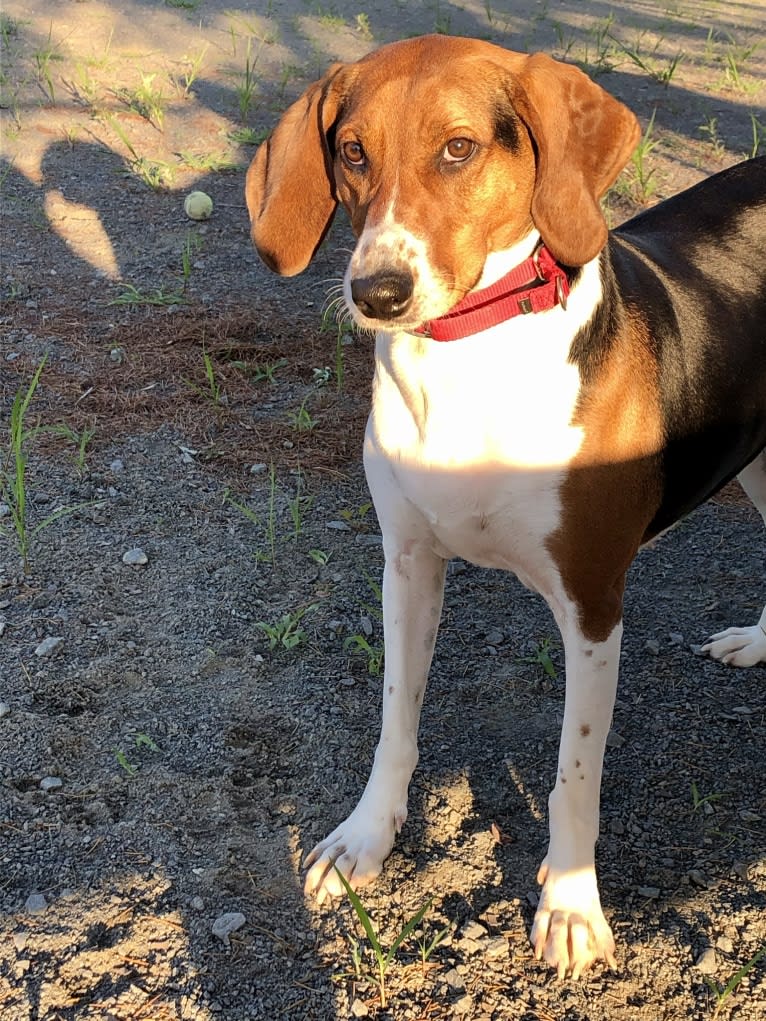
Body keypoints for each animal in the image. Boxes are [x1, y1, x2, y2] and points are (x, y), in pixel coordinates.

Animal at [246, 35, 766, 976]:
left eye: (459, 148)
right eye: (351, 152)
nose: (377, 292)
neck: (471, 352)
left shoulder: (594, 603)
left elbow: (573, 775)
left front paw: (570, 904)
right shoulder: (408, 566)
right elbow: (395, 720)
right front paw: (366, 839)